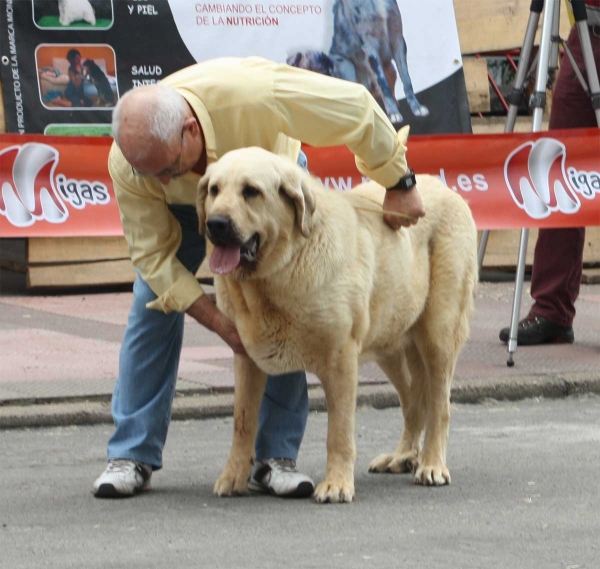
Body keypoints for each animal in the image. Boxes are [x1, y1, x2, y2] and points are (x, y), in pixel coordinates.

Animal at [197, 145, 478, 502]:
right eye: (214, 190)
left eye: (251, 191)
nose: (216, 224)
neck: (282, 267)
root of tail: (447, 189)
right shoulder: (245, 357)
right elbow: (242, 422)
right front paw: (233, 476)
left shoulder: (341, 360)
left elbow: (339, 432)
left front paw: (337, 484)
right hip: (390, 341)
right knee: (415, 400)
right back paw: (403, 456)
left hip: (438, 333)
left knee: (440, 404)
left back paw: (431, 464)